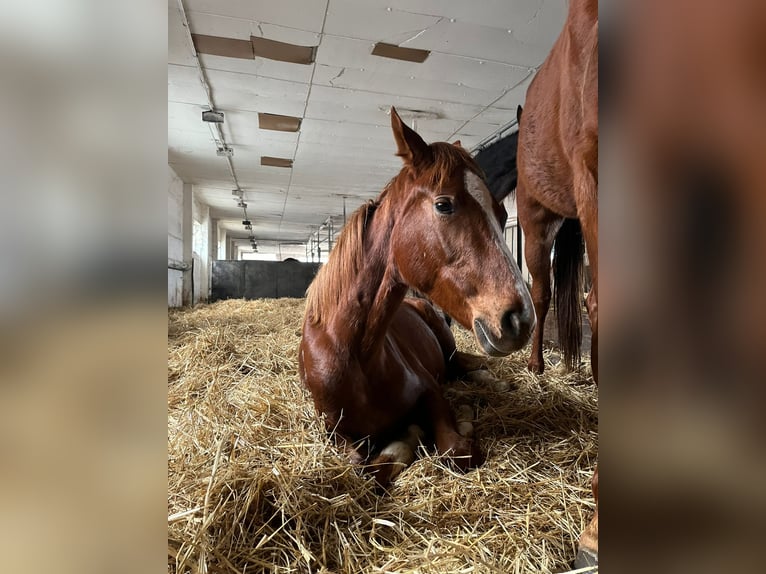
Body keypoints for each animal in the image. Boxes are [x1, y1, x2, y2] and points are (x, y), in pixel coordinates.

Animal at [300, 107, 536, 486]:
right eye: (444, 205)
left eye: (502, 215)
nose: (521, 319)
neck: (354, 355)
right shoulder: (335, 434)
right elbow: (359, 467)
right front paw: (406, 438)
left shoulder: (431, 390)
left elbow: (456, 450)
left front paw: (454, 421)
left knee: (465, 365)